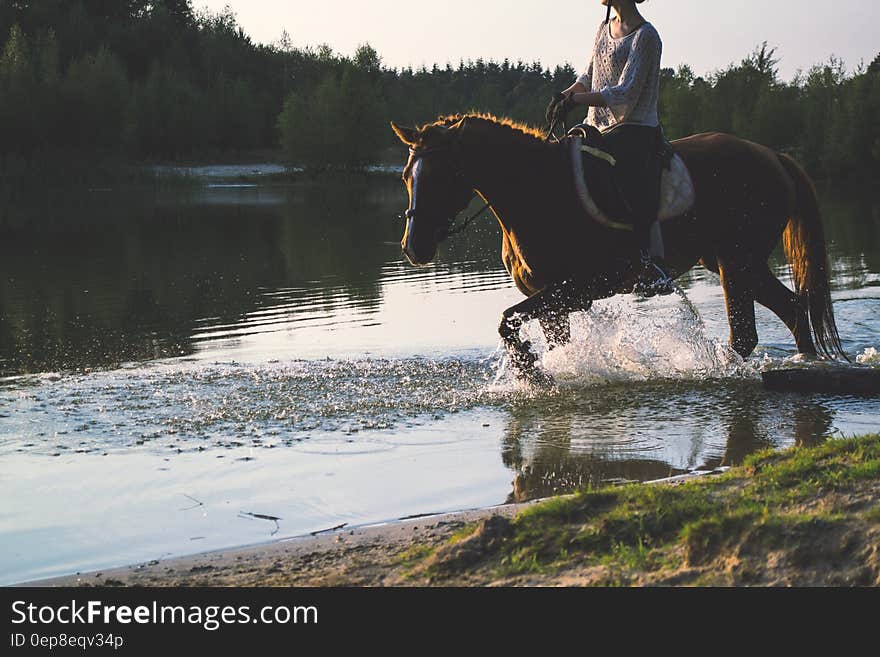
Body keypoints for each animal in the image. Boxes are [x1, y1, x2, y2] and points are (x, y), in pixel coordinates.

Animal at [392, 114, 844, 376]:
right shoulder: (555, 301)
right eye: (406, 176)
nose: (414, 248)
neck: (540, 192)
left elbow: (507, 320)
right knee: (792, 309)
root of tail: (774, 156)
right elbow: (549, 339)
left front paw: (529, 369)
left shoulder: (581, 287)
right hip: (738, 263)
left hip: (737, 261)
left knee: (748, 333)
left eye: (441, 176)